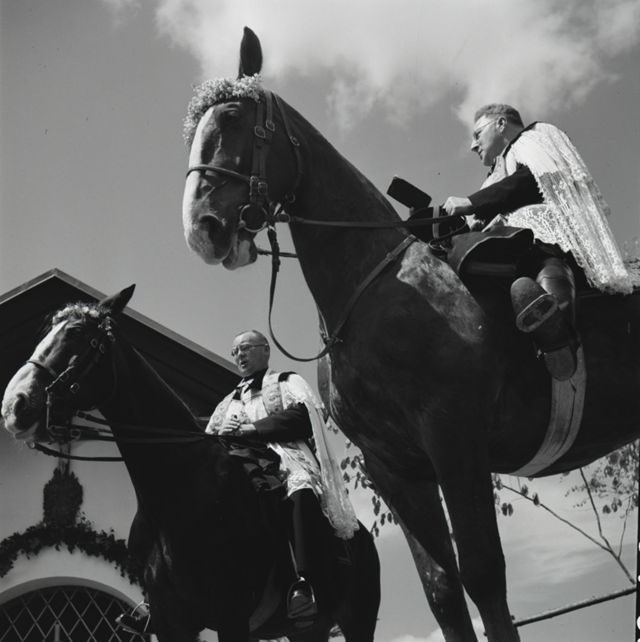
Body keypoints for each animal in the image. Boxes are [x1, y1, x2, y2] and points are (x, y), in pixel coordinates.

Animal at [1, 286, 381, 642]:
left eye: (77, 333)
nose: (14, 405)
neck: (179, 491)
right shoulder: (171, 622)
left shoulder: (231, 616)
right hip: (308, 629)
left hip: (356, 620)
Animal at [180, 27, 640, 641]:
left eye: (232, 118)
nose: (201, 228)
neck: (376, 288)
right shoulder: (396, 470)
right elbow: (442, 591)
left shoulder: (454, 439)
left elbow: (483, 577)